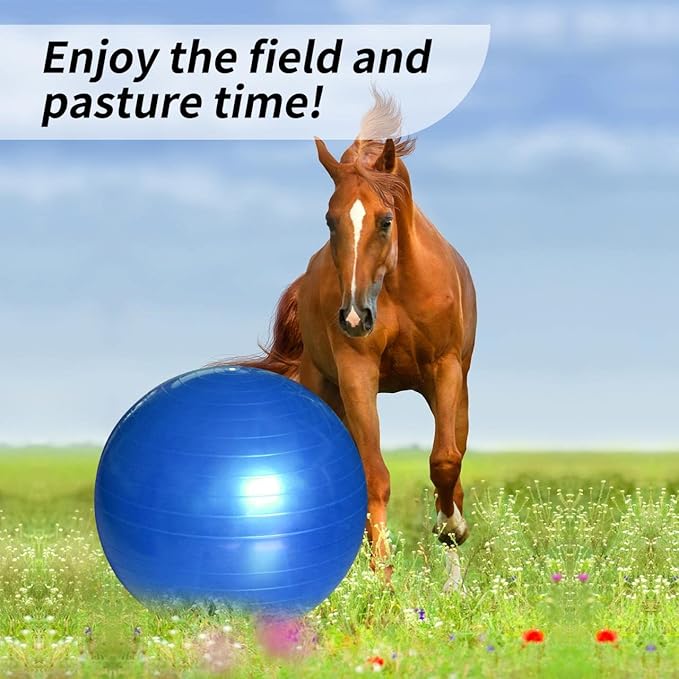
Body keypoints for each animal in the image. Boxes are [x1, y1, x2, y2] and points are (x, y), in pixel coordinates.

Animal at [230, 95, 477, 590]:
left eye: (385, 221)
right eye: (330, 221)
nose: (354, 316)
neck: (396, 287)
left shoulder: (444, 369)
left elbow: (444, 461)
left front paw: (451, 531)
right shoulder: (357, 373)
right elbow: (373, 476)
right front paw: (383, 579)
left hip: (455, 392)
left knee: (454, 464)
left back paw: (453, 573)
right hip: (329, 391)